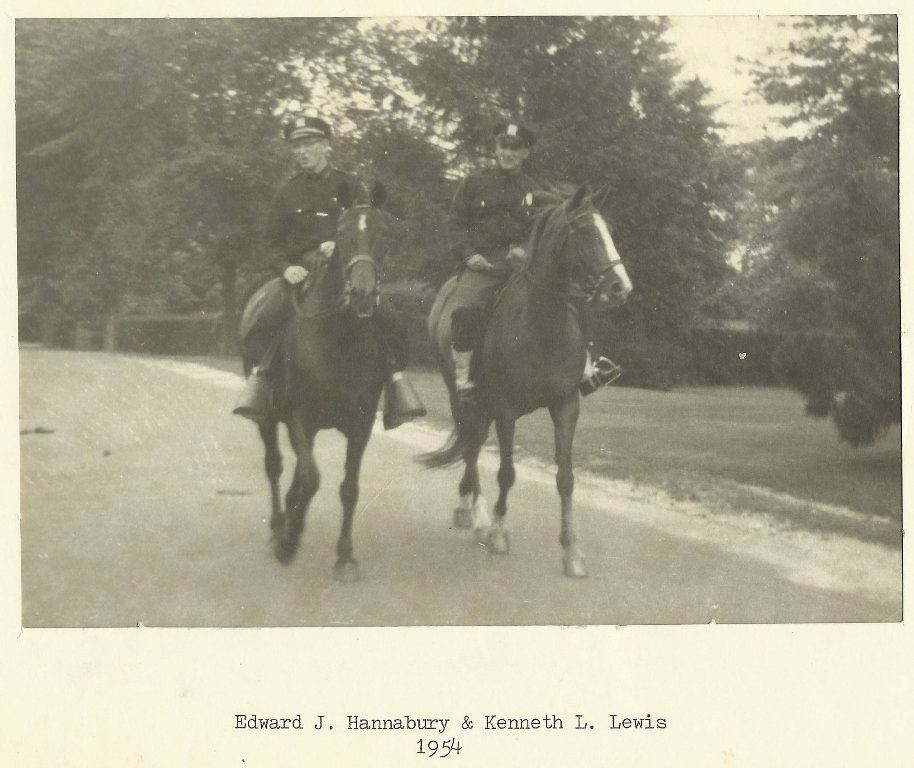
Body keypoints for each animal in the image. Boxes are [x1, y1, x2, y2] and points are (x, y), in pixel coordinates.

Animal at [240, 182, 394, 582]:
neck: (340, 338)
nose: (362, 294)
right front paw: (289, 541)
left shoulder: (360, 423)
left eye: (383, 233)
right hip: (268, 419)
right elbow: (311, 478)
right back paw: (279, 526)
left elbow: (348, 488)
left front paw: (345, 557)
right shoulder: (300, 417)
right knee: (276, 465)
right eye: (341, 232)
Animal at [422, 185, 633, 577]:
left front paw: (571, 551)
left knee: (473, 444)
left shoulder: (566, 405)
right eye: (584, 232)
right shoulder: (506, 409)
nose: (620, 287)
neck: (541, 326)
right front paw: (498, 533)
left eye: (608, 229)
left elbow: (565, 478)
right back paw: (475, 514)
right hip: (462, 396)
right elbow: (507, 472)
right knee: (472, 447)